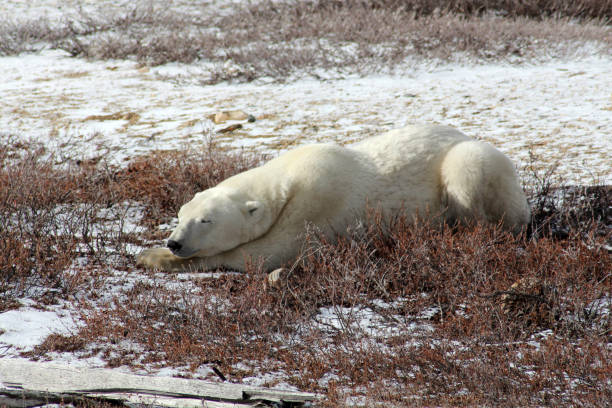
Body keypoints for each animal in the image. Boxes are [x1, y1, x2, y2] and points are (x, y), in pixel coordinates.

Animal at [137, 124, 532, 270]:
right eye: (180, 215)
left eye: (206, 220)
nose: (175, 242)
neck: (289, 175)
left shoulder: (318, 199)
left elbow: (266, 253)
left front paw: (152, 256)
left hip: (471, 163)